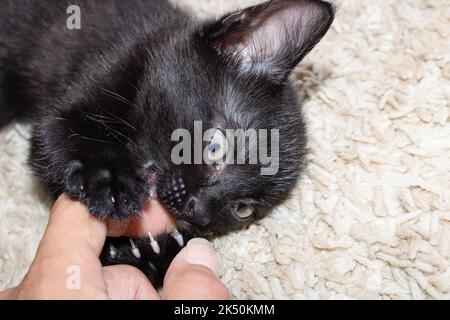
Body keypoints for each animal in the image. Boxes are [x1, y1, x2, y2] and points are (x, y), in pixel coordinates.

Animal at [0, 0, 334, 284]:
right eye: (216, 147)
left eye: (243, 209)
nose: (198, 212)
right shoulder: (67, 107)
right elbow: (65, 141)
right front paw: (113, 182)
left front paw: (153, 252)